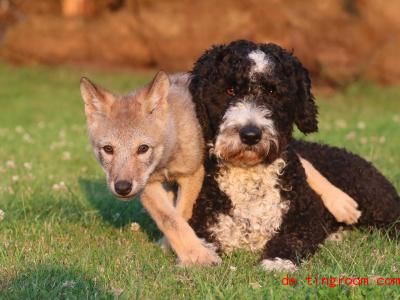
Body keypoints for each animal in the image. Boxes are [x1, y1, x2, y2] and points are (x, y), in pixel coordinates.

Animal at [188, 39, 400, 272]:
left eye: (273, 91)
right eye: (230, 89)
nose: (250, 134)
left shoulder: (305, 216)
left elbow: (292, 238)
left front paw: (277, 261)